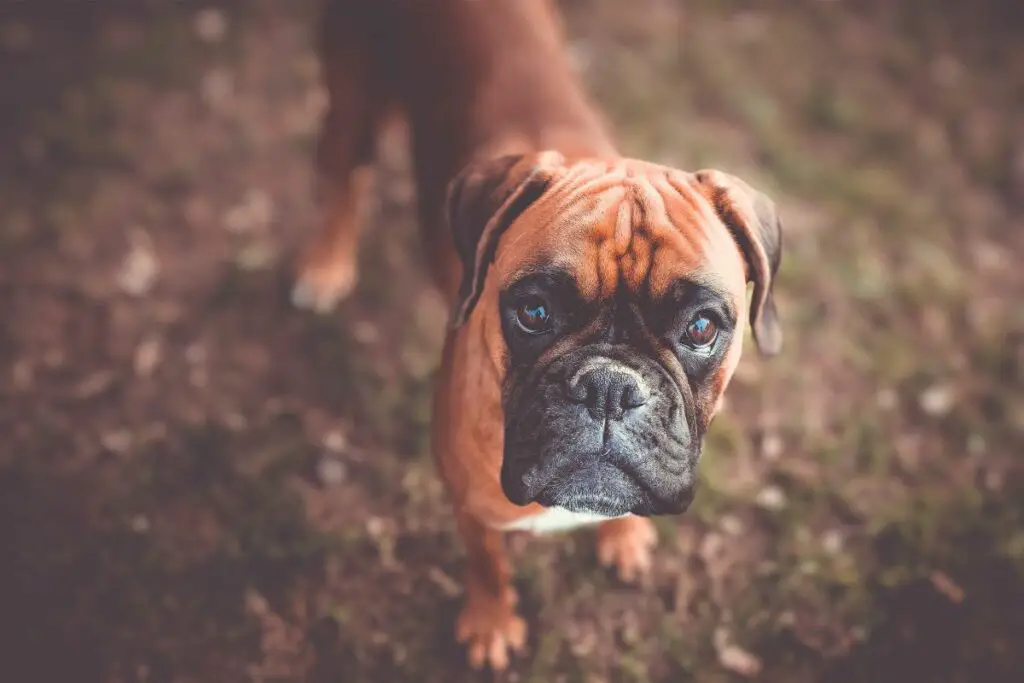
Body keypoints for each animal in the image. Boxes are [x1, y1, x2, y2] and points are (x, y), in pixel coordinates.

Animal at [290, 0, 782, 671]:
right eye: (534, 311)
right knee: (346, 175)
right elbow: (487, 567)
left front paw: (623, 534)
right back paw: (325, 264)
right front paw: (492, 624)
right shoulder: (470, 508)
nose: (609, 388)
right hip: (353, 97)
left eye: (701, 326)